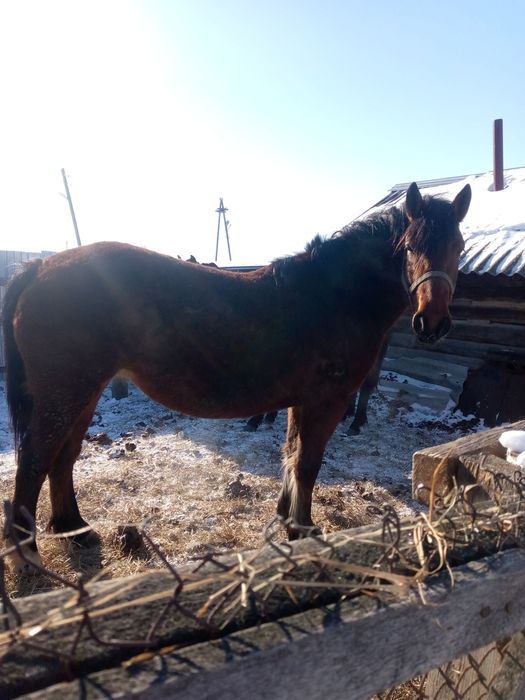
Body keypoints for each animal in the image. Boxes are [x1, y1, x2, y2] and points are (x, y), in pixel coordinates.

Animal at [2, 181, 471, 570]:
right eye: (408, 247)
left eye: (459, 246)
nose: (432, 322)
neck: (332, 297)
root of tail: (38, 269)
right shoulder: (326, 401)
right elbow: (308, 464)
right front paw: (303, 532)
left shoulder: (301, 400)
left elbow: (291, 456)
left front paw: (285, 520)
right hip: (66, 393)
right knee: (34, 462)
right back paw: (28, 557)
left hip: (84, 393)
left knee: (62, 458)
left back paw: (73, 529)